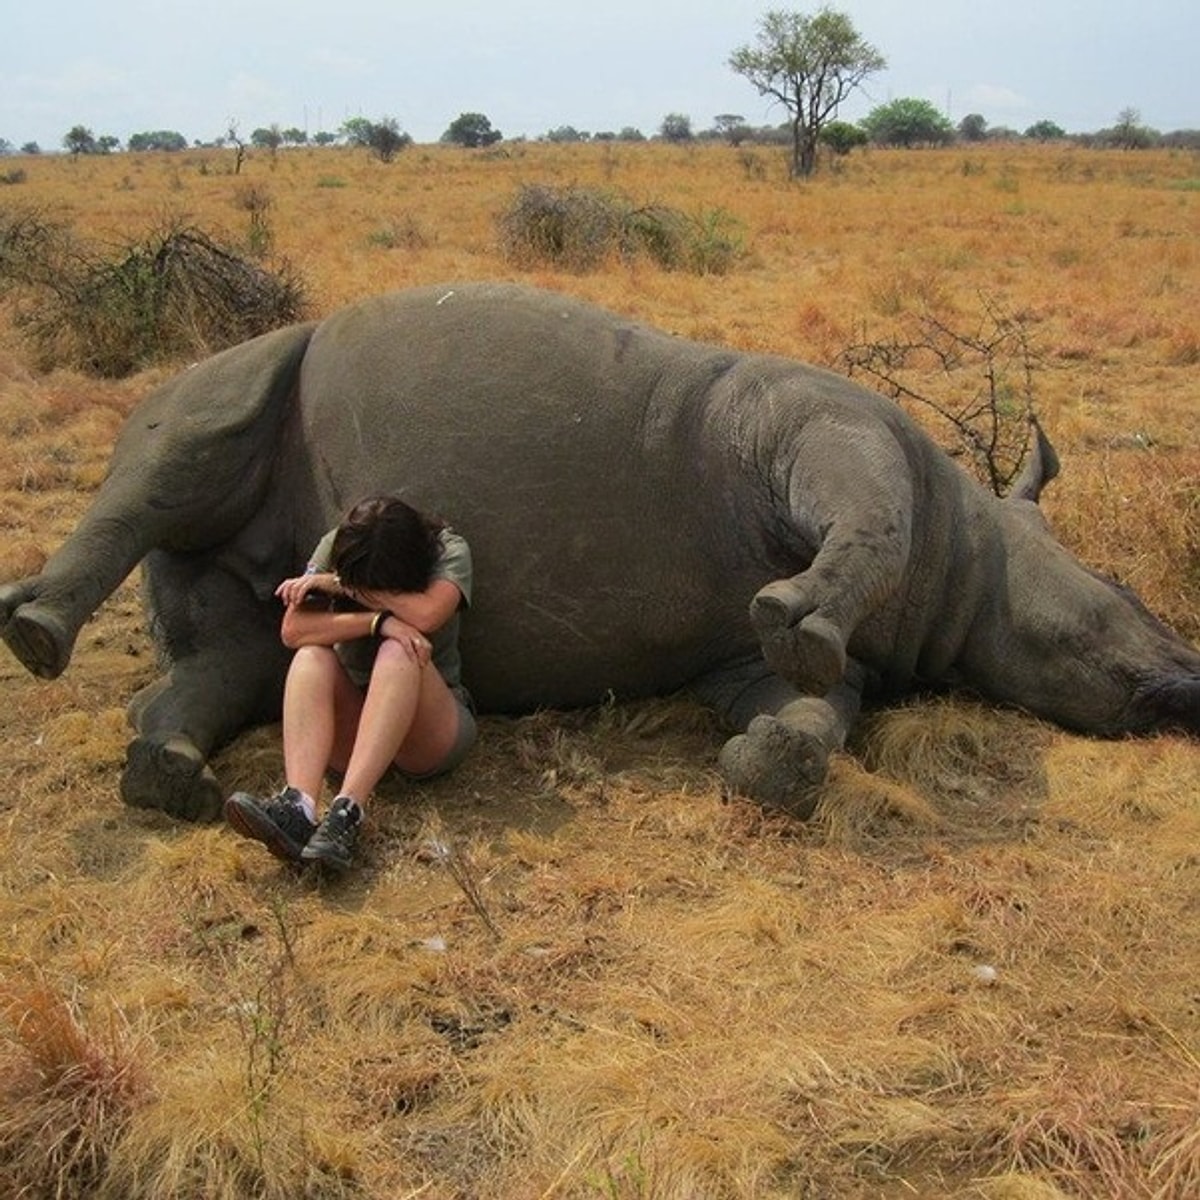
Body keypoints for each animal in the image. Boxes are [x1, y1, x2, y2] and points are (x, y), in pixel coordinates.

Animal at [0, 283, 1195, 816]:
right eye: (1131, 595)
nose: (1186, 684)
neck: (972, 545)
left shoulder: (741, 662)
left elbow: (808, 708)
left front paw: (770, 764)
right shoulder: (826, 427)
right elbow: (865, 525)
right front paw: (797, 618)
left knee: (240, 655)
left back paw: (165, 773)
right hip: (249, 368)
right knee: (188, 440)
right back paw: (36, 634)